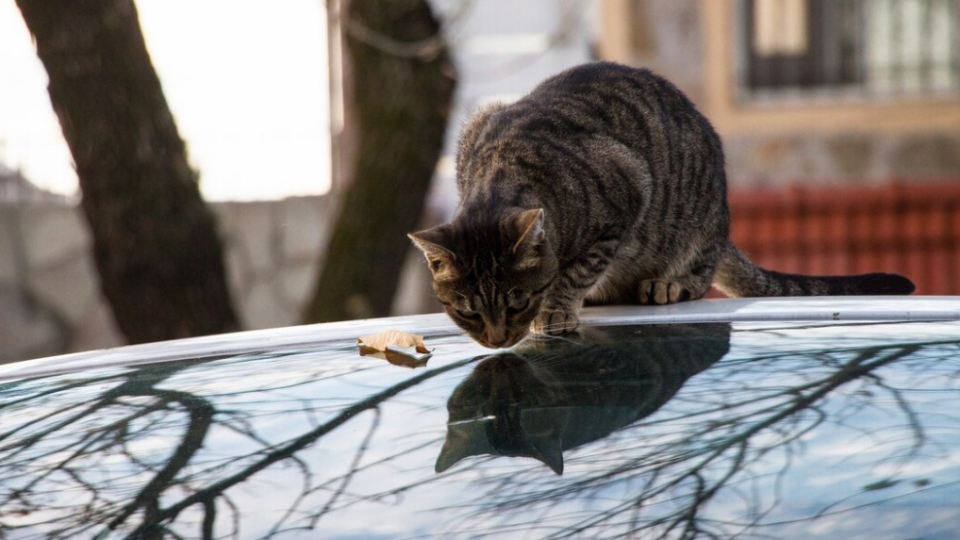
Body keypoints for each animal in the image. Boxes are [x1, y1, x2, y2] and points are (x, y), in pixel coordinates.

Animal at [406, 61, 916, 348]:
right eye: (468, 311)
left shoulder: (627, 191)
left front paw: (557, 307)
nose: (496, 340)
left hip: (698, 219)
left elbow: (577, 270)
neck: (503, 174)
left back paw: (669, 284)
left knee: (701, 273)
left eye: (518, 303)